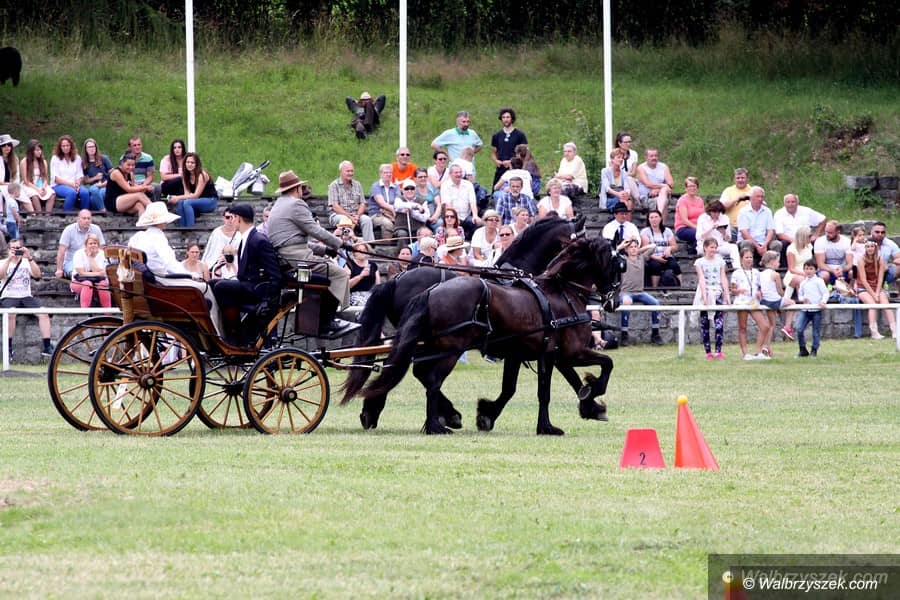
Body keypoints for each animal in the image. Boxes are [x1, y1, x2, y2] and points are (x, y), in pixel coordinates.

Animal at [359, 236, 623, 435]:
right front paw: (559, 419)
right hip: (448, 349)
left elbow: (512, 389)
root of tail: (430, 290)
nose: (615, 302)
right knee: (430, 379)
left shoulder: (527, 355)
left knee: (406, 369)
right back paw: (436, 424)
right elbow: (600, 367)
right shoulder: (566, 353)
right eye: (619, 265)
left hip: (428, 344)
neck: (561, 293)